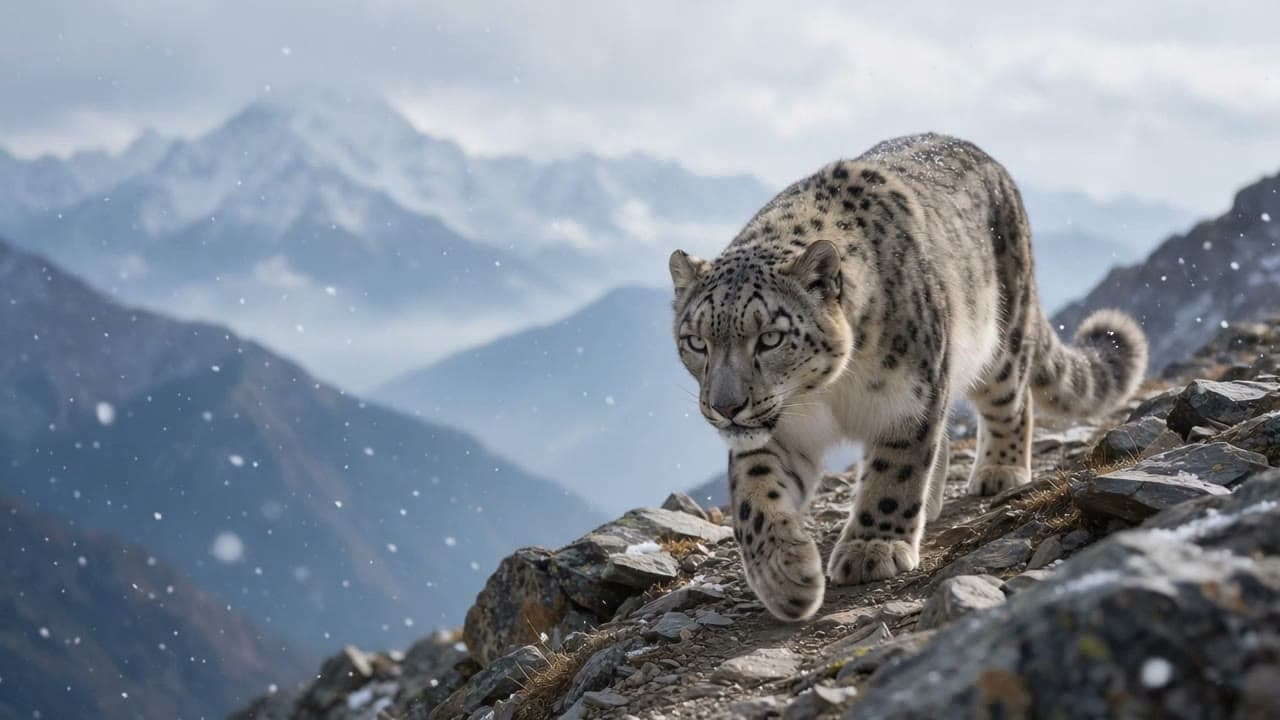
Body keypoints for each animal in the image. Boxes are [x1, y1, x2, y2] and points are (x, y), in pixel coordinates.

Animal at [668, 133, 1147, 621]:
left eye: (769, 338)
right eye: (697, 341)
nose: (726, 408)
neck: (828, 394)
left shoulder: (908, 400)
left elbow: (893, 473)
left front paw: (872, 548)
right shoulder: (781, 430)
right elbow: (755, 494)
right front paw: (785, 576)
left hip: (1001, 339)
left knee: (1011, 399)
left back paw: (1001, 469)